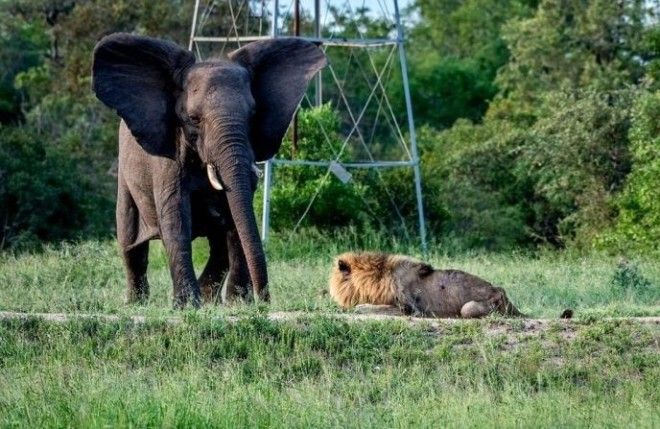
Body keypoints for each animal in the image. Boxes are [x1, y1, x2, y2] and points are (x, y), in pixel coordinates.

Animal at [91, 33, 328, 308]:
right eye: (193, 119)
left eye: (252, 115)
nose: (265, 300)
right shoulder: (169, 159)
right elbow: (176, 219)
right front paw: (186, 306)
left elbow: (236, 221)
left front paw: (239, 304)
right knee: (131, 245)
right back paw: (136, 303)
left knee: (218, 244)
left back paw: (209, 299)